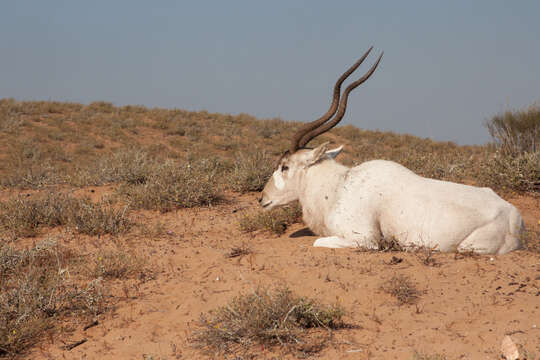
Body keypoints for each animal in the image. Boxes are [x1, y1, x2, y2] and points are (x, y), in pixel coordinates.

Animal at [260, 47, 524, 255]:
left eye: (284, 166)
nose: (261, 199)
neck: (337, 187)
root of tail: (515, 219)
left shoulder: (364, 238)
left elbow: (319, 242)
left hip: (469, 247)